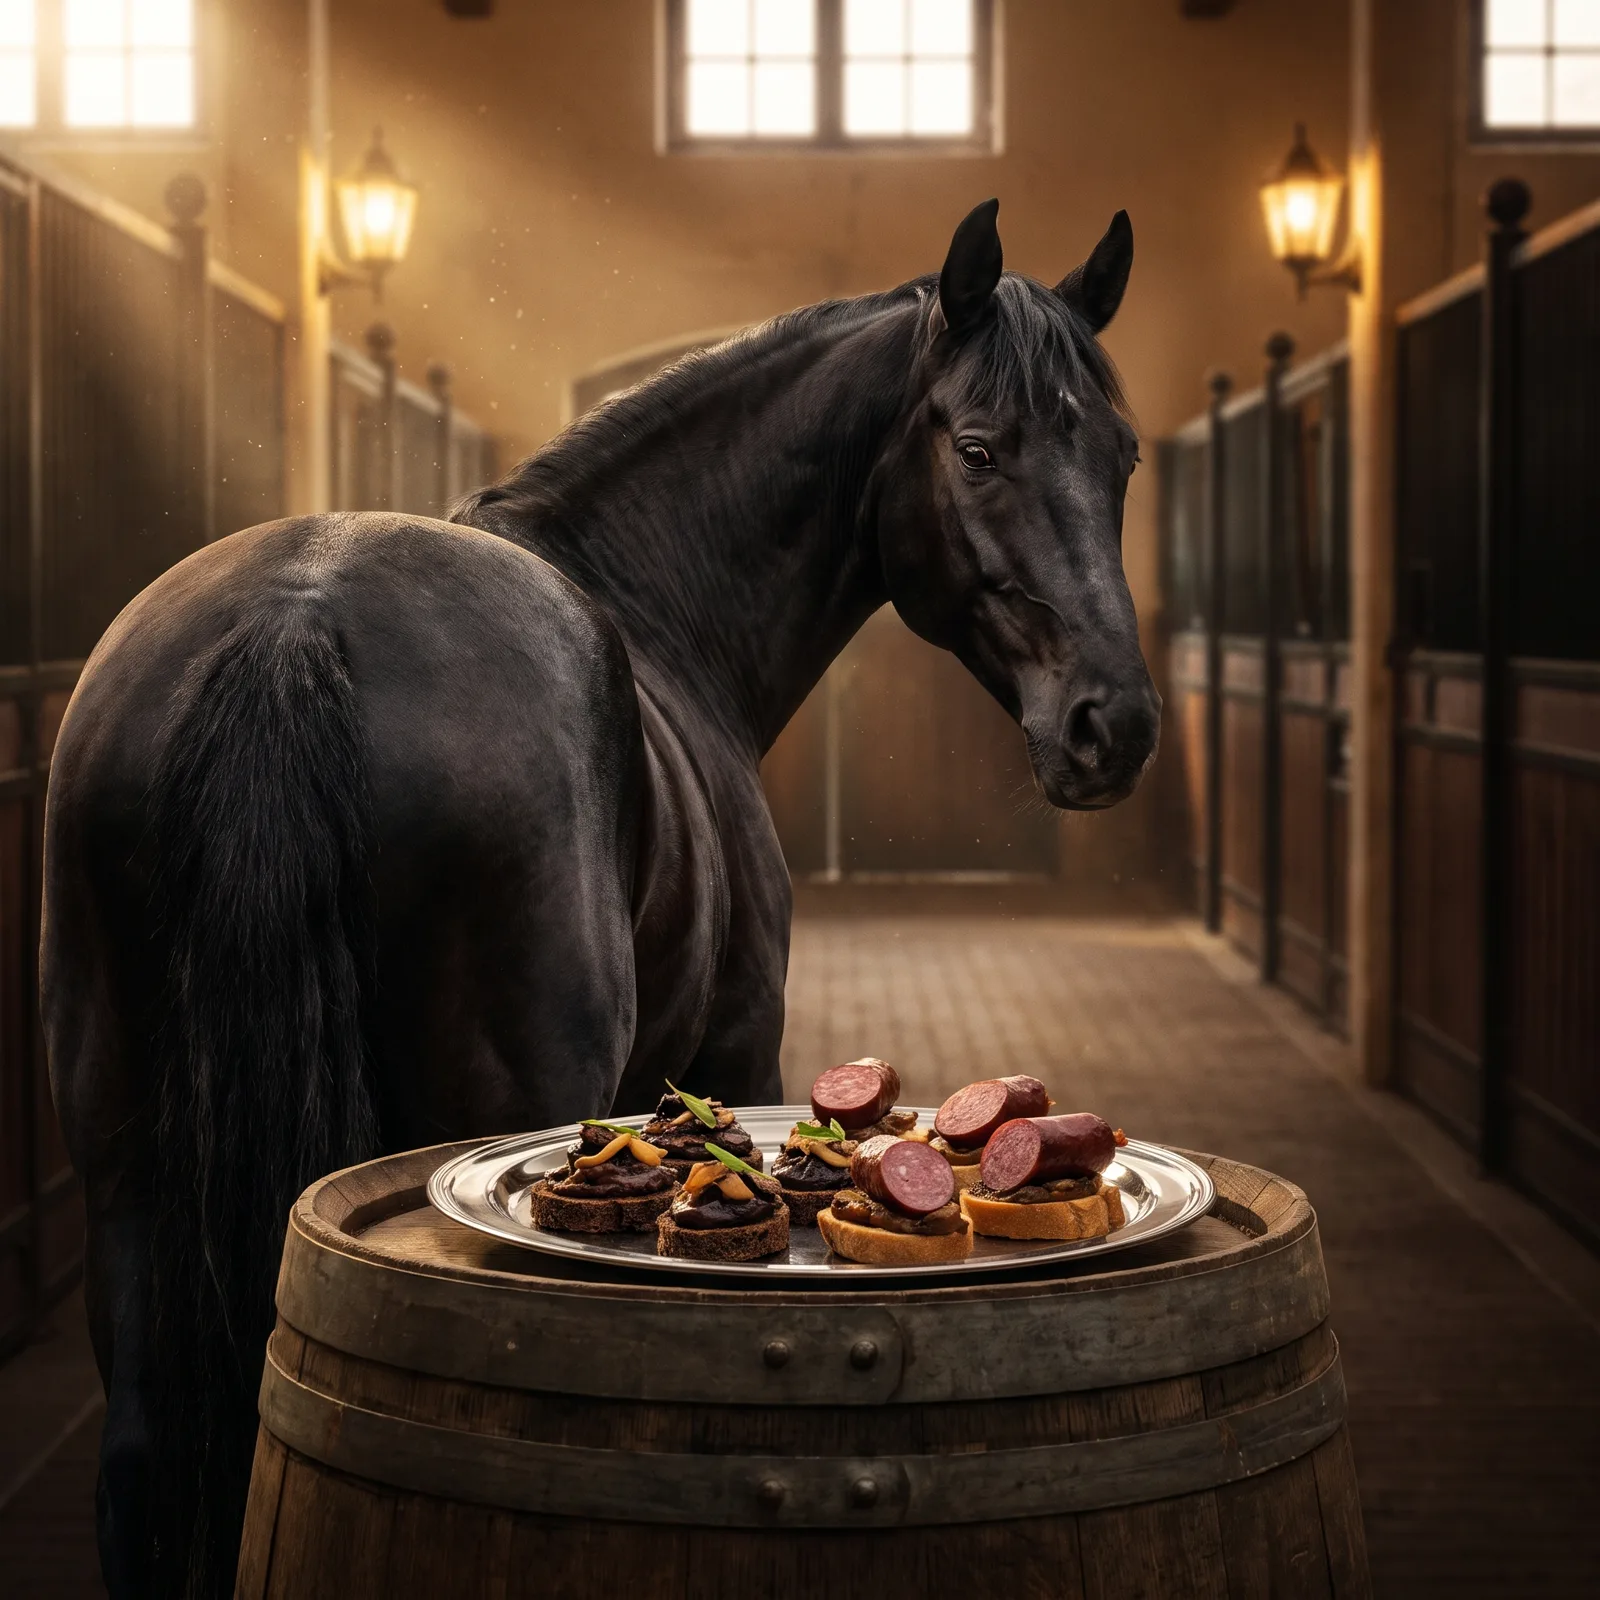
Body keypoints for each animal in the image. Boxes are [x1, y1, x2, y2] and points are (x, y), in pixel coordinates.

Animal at [41, 198, 1158, 1597]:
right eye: (976, 448)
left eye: (1121, 455)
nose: (1114, 725)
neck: (657, 611)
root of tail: (294, 628)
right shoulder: (733, 1045)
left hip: (126, 1163)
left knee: (141, 1468)